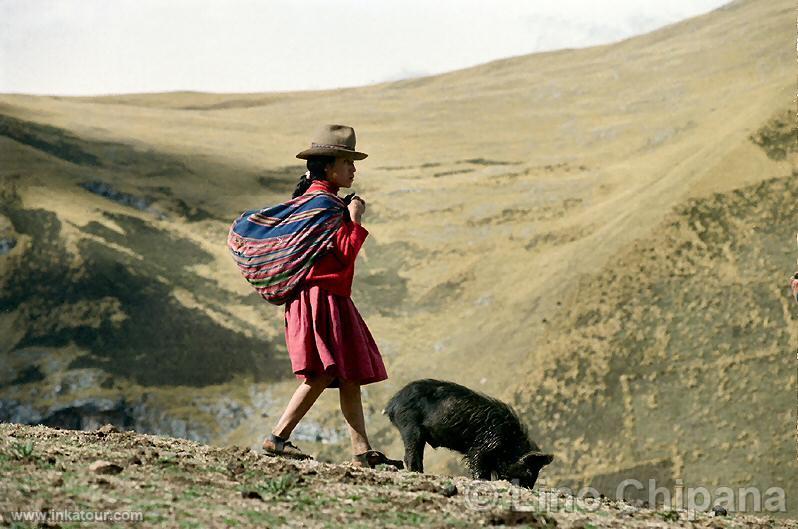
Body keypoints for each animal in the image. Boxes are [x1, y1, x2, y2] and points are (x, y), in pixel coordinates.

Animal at [384, 380, 552, 486]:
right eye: (529, 471)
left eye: (537, 472)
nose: (528, 488)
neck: (510, 443)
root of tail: (392, 404)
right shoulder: (481, 449)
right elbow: (479, 466)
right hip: (410, 426)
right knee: (411, 453)